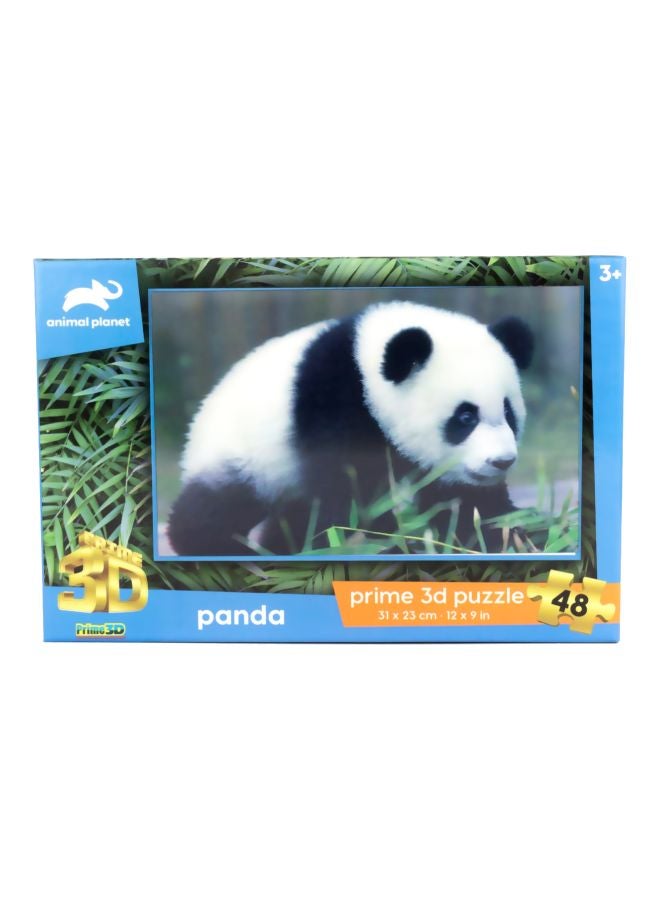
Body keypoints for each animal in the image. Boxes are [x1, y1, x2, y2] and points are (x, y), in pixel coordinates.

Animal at [167, 301, 534, 556]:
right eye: (465, 417)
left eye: (508, 412)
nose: (501, 461)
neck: (366, 372)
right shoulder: (334, 406)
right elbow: (349, 495)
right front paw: (389, 542)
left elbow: (466, 502)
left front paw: (506, 536)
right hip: (244, 457)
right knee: (217, 508)